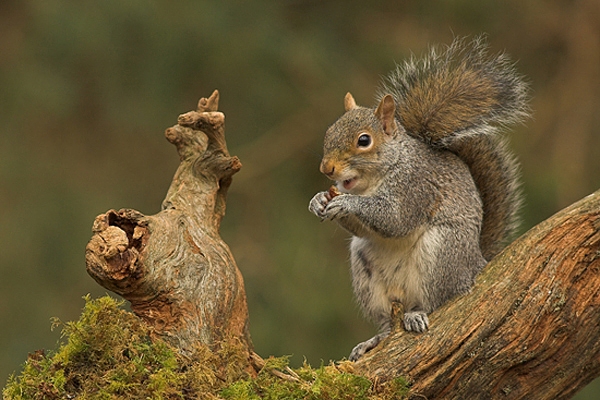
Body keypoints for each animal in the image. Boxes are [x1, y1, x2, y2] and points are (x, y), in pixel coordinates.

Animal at [310, 37, 528, 360]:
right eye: (329, 131)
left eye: (364, 140)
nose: (326, 169)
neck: (375, 180)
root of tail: (476, 262)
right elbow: (363, 227)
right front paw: (317, 201)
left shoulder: (417, 187)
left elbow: (395, 220)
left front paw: (348, 203)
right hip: (365, 271)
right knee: (387, 323)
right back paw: (375, 339)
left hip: (441, 252)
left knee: (440, 301)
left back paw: (417, 314)